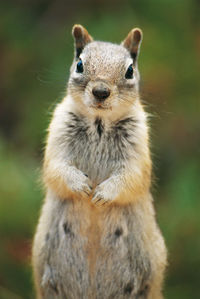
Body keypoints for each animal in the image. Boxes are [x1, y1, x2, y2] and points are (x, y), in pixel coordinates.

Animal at [32, 24, 167, 298]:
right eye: (79, 64)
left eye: (129, 70)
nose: (101, 91)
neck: (99, 123)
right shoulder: (58, 135)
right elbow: (55, 168)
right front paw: (81, 186)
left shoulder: (138, 149)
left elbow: (132, 177)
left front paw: (103, 194)